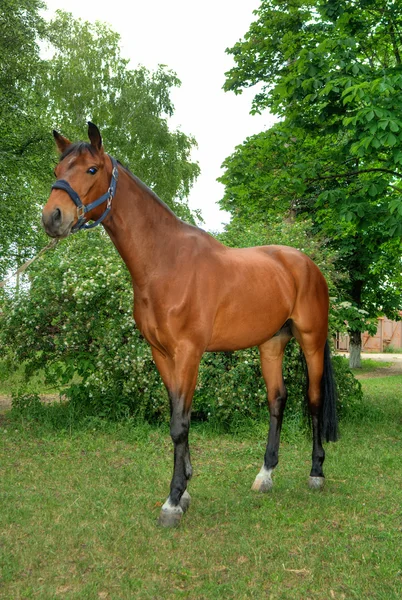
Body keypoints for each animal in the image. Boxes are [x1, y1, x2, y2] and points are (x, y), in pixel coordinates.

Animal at [41, 124, 336, 528]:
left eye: (90, 169)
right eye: (58, 167)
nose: (52, 217)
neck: (165, 262)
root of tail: (307, 265)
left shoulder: (188, 353)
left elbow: (179, 424)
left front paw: (172, 500)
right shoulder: (161, 354)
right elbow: (177, 419)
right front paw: (185, 490)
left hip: (311, 340)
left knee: (314, 400)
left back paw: (316, 473)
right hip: (271, 344)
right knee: (277, 400)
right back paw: (265, 474)